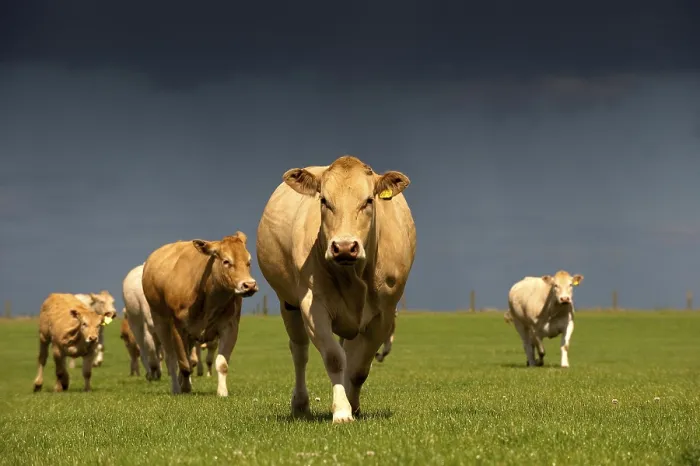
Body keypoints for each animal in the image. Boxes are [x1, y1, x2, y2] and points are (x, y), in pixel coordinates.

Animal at [141, 232, 258, 395]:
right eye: (226, 261)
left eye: (249, 261)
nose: (249, 285)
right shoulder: (177, 327)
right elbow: (183, 364)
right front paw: (185, 387)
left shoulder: (230, 327)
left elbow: (221, 364)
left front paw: (222, 392)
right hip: (160, 322)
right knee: (171, 358)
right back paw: (176, 387)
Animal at [256, 155, 416, 423]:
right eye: (324, 200)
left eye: (369, 200)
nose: (343, 247)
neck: (352, 275)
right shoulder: (313, 306)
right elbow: (333, 359)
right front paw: (342, 410)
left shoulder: (383, 314)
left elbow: (358, 368)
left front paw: (353, 404)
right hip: (287, 303)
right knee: (299, 351)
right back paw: (300, 404)